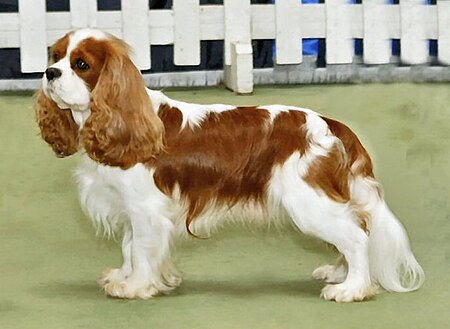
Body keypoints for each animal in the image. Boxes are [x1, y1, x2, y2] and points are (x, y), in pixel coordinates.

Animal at [34, 29, 422, 302]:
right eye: (55, 55)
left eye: (81, 64)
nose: (49, 72)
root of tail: (330, 125)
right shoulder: (132, 208)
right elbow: (129, 247)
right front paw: (125, 277)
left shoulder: (147, 209)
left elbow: (141, 250)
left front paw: (137, 286)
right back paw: (338, 274)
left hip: (309, 203)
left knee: (357, 237)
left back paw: (352, 288)